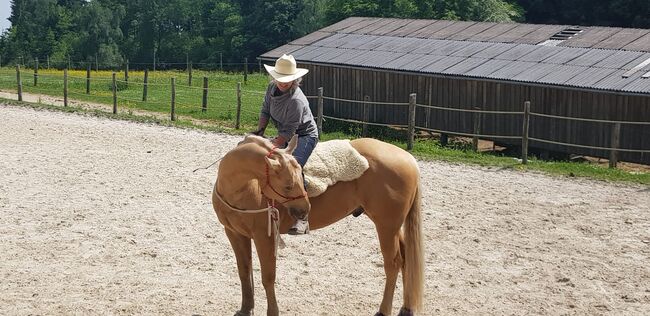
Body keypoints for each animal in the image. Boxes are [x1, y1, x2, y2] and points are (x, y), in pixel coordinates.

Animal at [213, 135, 422, 314]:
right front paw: (245, 308)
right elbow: (244, 271)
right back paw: (406, 309)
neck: (242, 188)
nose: (305, 210)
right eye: (288, 186)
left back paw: (383, 310)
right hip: (392, 227)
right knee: (406, 259)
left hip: (386, 226)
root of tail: (409, 159)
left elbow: (268, 277)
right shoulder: (234, 233)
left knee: (393, 263)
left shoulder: (264, 237)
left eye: (301, 178)